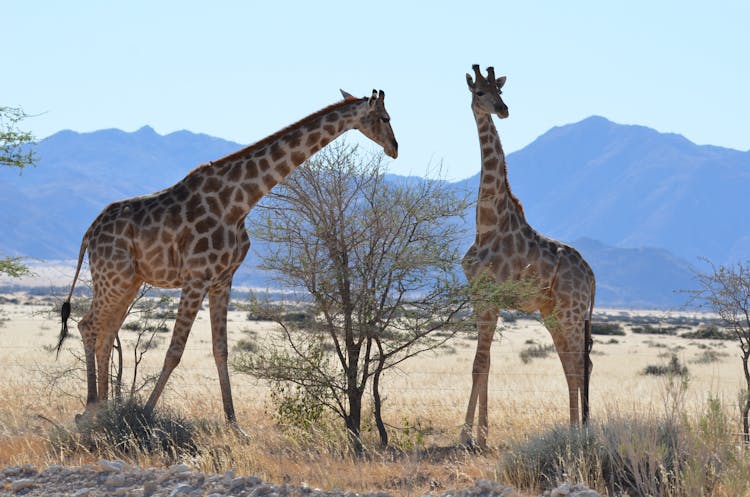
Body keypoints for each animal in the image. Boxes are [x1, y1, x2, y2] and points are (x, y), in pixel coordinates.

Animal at [58, 88, 400, 426]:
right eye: (385, 118)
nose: (395, 148)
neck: (239, 202)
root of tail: (89, 231)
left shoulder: (223, 279)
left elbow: (220, 350)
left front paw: (235, 425)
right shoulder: (196, 277)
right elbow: (175, 350)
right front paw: (145, 413)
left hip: (129, 281)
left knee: (106, 332)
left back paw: (103, 408)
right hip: (113, 277)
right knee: (88, 326)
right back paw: (91, 407)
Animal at [462, 64, 596, 448]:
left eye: (501, 91)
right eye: (479, 92)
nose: (503, 110)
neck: (486, 223)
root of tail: (592, 274)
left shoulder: (489, 297)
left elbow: (479, 364)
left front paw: (467, 435)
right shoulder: (479, 297)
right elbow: (485, 364)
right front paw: (482, 434)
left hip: (570, 311)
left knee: (578, 365)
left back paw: (578, 433)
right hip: (553, 313)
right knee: (573, 365)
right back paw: (575, 428)